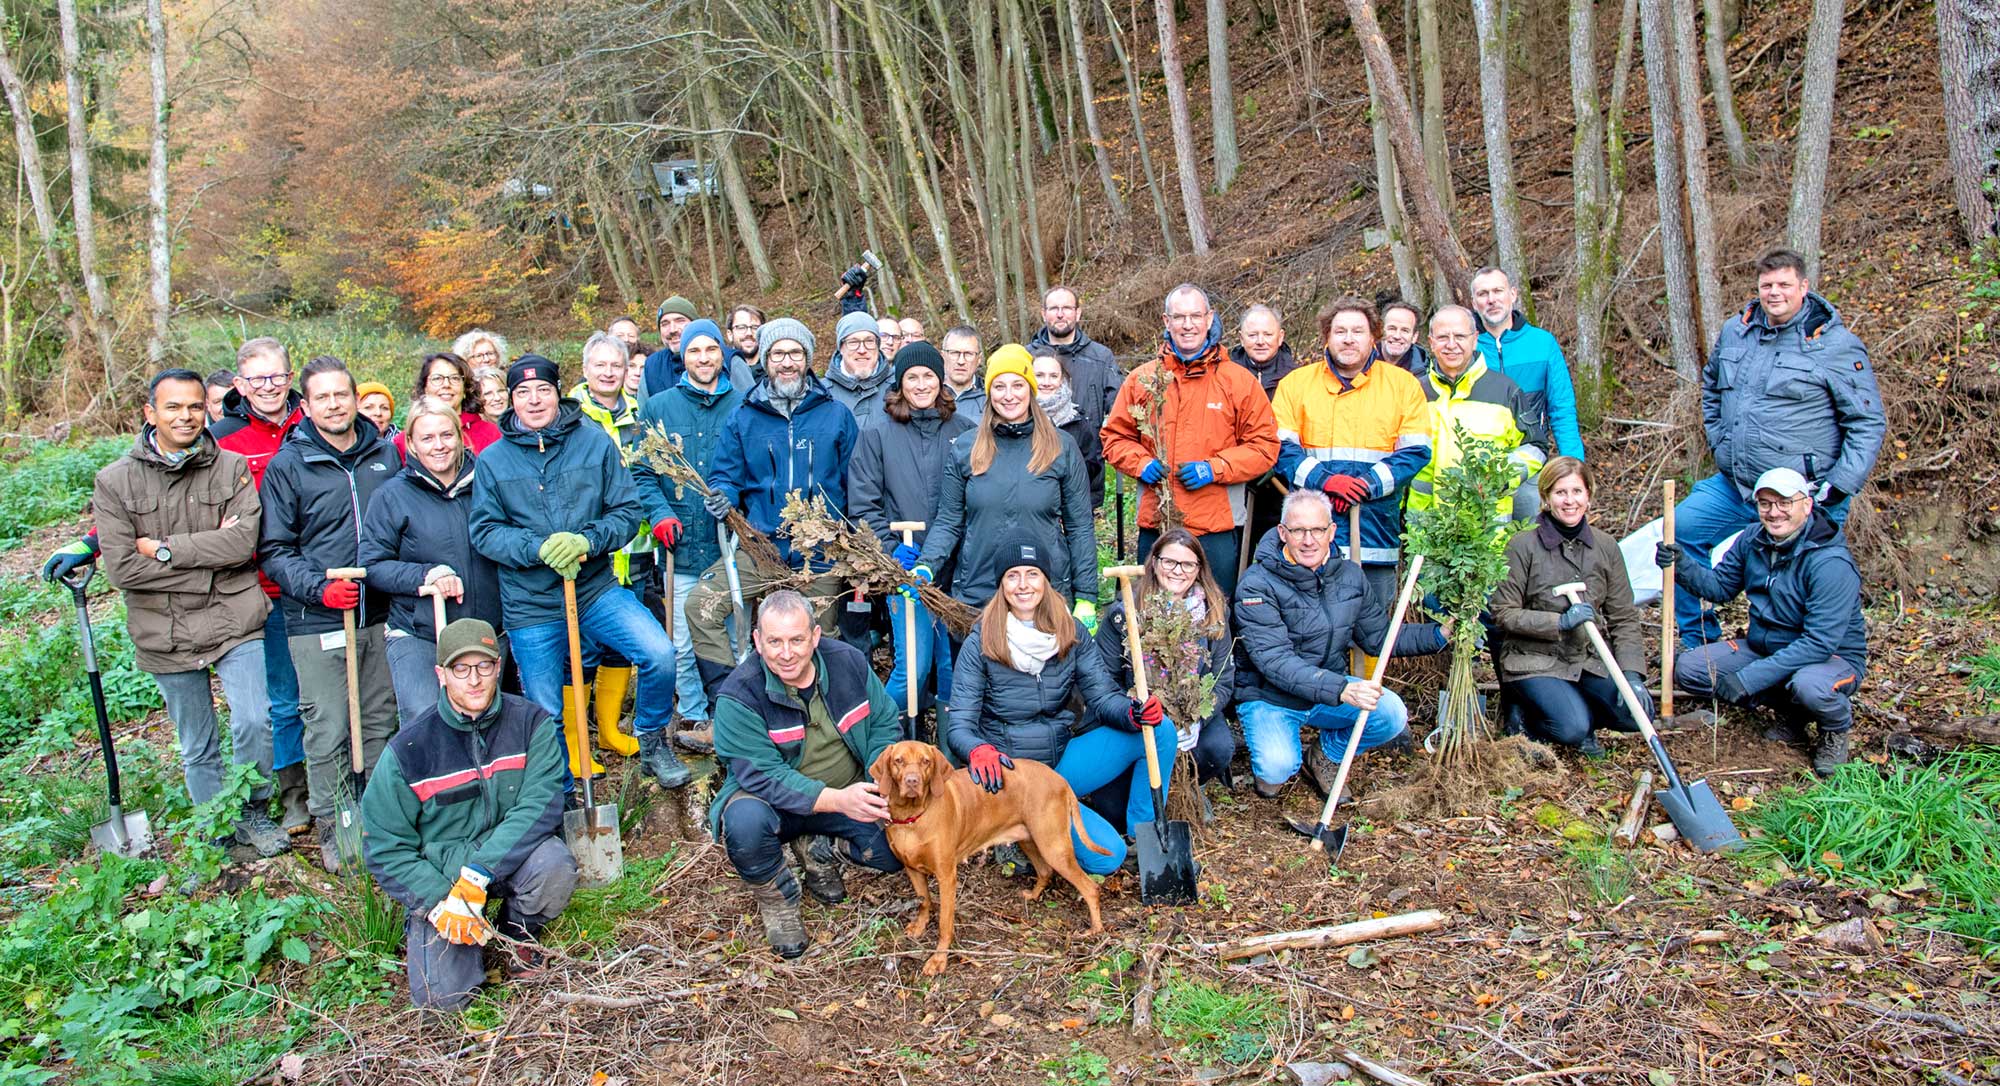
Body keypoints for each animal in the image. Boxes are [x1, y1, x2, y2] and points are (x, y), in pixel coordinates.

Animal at [872, 744, 1112, 972]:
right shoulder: (911, 869)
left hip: (1054, 847)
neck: (912, 819)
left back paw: (1096, 930)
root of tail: (1060, 779)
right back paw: (1033, 896)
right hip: (1030, 839)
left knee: (1090, 887)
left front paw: (939, 959)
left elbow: (944, 924)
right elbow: (924, 902)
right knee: (1045, 871)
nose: (912, 781)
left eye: (926, 761)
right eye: (898, 761)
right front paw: (920, 926)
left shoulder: (946, 876)